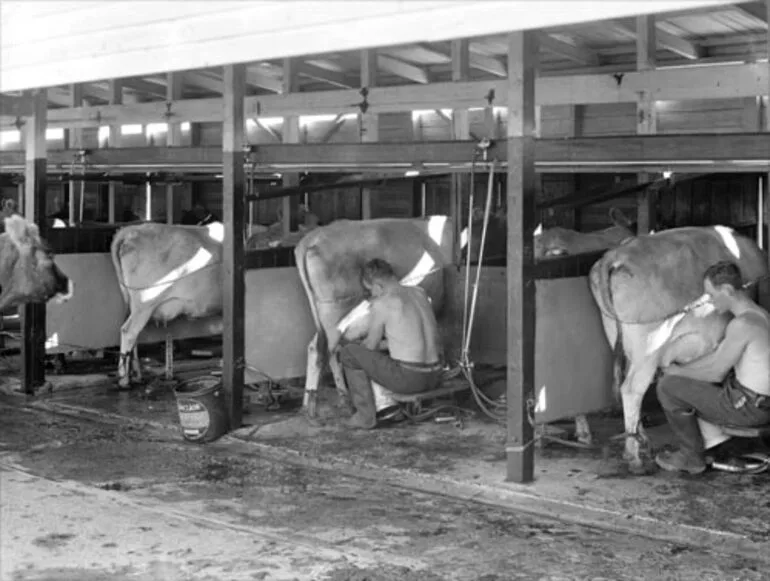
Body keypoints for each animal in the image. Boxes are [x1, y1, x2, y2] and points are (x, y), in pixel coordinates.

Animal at [111, 220, 225, 388]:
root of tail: (132, 230)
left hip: (134, 304)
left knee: (134, 335)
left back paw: (137, 375)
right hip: (144, 304)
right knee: (128, 331)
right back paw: (124, 379)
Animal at [294, 216, 450, 412]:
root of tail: (311, 238)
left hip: (326, 318)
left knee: (319, 348)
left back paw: (319, 401)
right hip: (335, 315)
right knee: (327, 350)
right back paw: (327, 403)